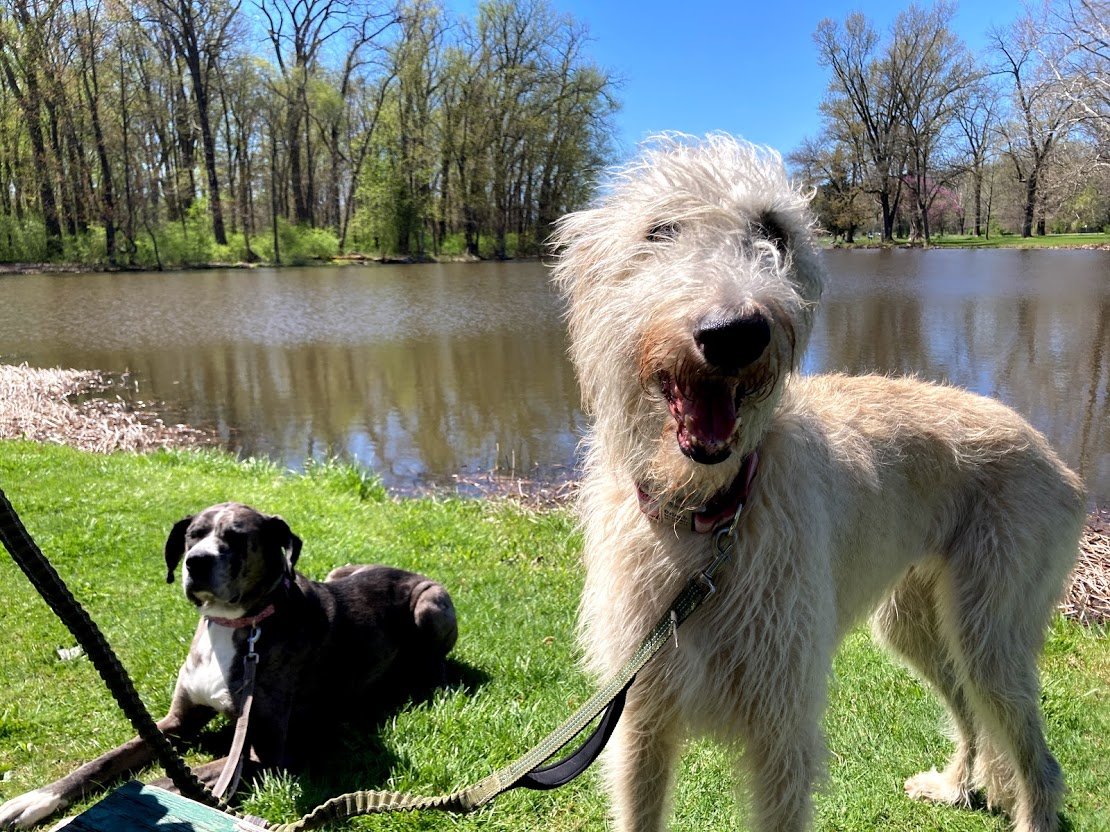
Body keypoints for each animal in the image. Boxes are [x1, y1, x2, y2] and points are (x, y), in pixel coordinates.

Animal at [0, 505, 457, 829]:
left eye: (238, 538)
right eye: (193, 535)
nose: (197, 562)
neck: (234, 624)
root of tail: (414, 572)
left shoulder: (266, 753)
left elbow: (173, 782)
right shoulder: (174, 723)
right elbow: (103, 762)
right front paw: (34, 800)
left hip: (429, 606)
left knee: (434, 668)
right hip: (340, 570)